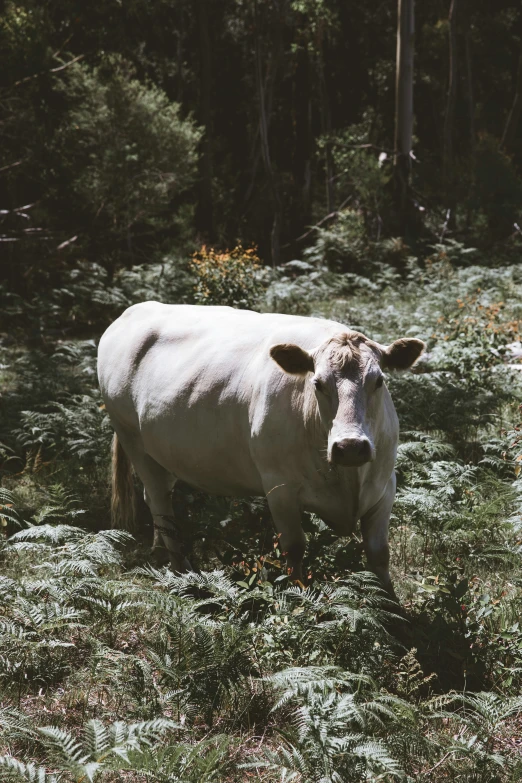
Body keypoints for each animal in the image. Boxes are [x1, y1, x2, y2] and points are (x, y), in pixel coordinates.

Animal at [97, 304, 422, 596]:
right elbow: (294, 549)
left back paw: (159, 553)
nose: (350, 447)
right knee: (161, 506)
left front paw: (391, 606)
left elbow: (379, 552)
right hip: (132, 439)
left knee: (155, 498)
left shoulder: (385, 485)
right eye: (317, 383)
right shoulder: (279, 488)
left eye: (379, 380)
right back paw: (182, 572)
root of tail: (133, 311)